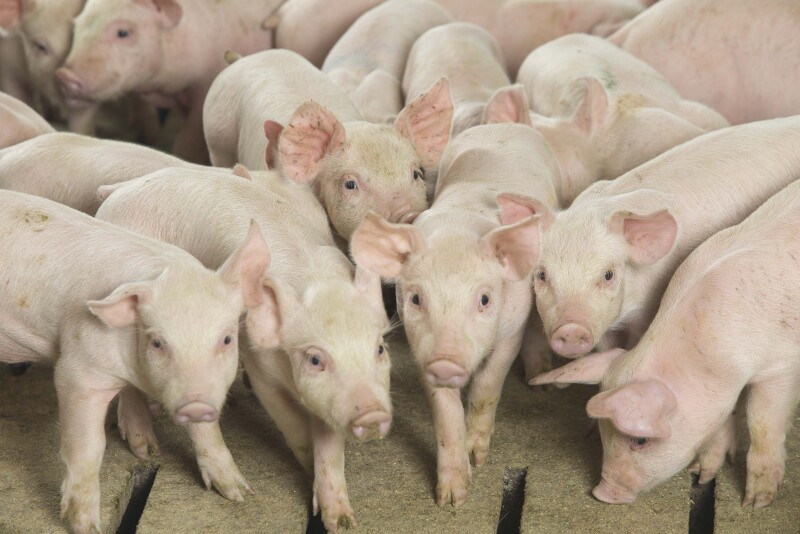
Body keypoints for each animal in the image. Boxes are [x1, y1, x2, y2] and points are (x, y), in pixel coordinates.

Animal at [0, 189, 273, 533]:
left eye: (226, 339)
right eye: (158, 342)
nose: (196, 404)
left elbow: (208, 431)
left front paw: (237, 493)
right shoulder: (78, 372)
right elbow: (89, 447)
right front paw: (86, 526)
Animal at [56, 0, 282, 163]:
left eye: (123, 32)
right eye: (76, 27)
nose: (64, 76)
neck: (160, 86)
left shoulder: (203, 87)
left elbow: (187, 142)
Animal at [95, 167, 392, 532]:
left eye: (380, 348)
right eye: (315, 359)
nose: (373, 413)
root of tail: (117, 191)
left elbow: (331, 447)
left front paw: (342, 521)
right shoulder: (259, 363)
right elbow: (292, 424)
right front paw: (287, 474)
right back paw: (155, 454)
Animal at [350, 122, 560, 507]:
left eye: (485, 299)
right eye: (416, 298)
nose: (446, 362)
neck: (457, 232)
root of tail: (502, 126)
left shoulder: (512, 328)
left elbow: (488, 386)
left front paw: (479, 457)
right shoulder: (420, 346)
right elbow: (444, 412)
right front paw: (451, 499)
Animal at [532, 177, 800, 508]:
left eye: (640, 439)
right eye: (604, 434)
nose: (602, 493)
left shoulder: (781, 366)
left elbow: (763, 423)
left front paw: (755, 503)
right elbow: (724, 419)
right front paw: (702, 474)